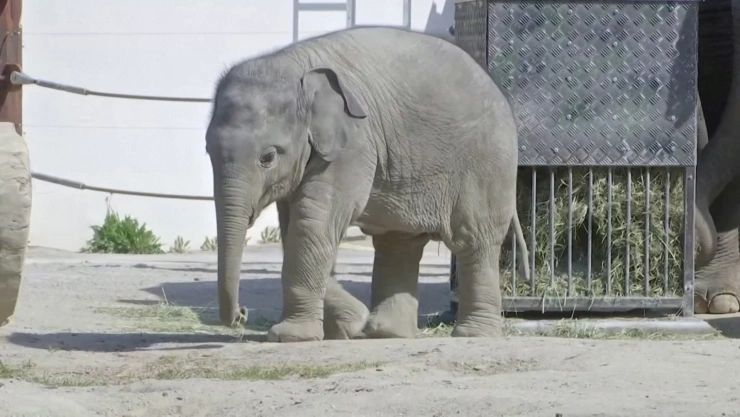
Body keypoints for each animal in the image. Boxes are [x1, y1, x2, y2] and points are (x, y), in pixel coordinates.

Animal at [205, 26, 530, 342]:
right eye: (207, 150)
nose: (241, 314)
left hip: (487, 165)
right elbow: (295, 230)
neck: (294, 65)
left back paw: (472, 333)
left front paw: (292, 337)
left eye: (268, 157)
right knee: (399, 241)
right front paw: (348, 325)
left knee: (475, 240)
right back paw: (386, 332)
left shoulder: (353, 146)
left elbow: (311, 224)